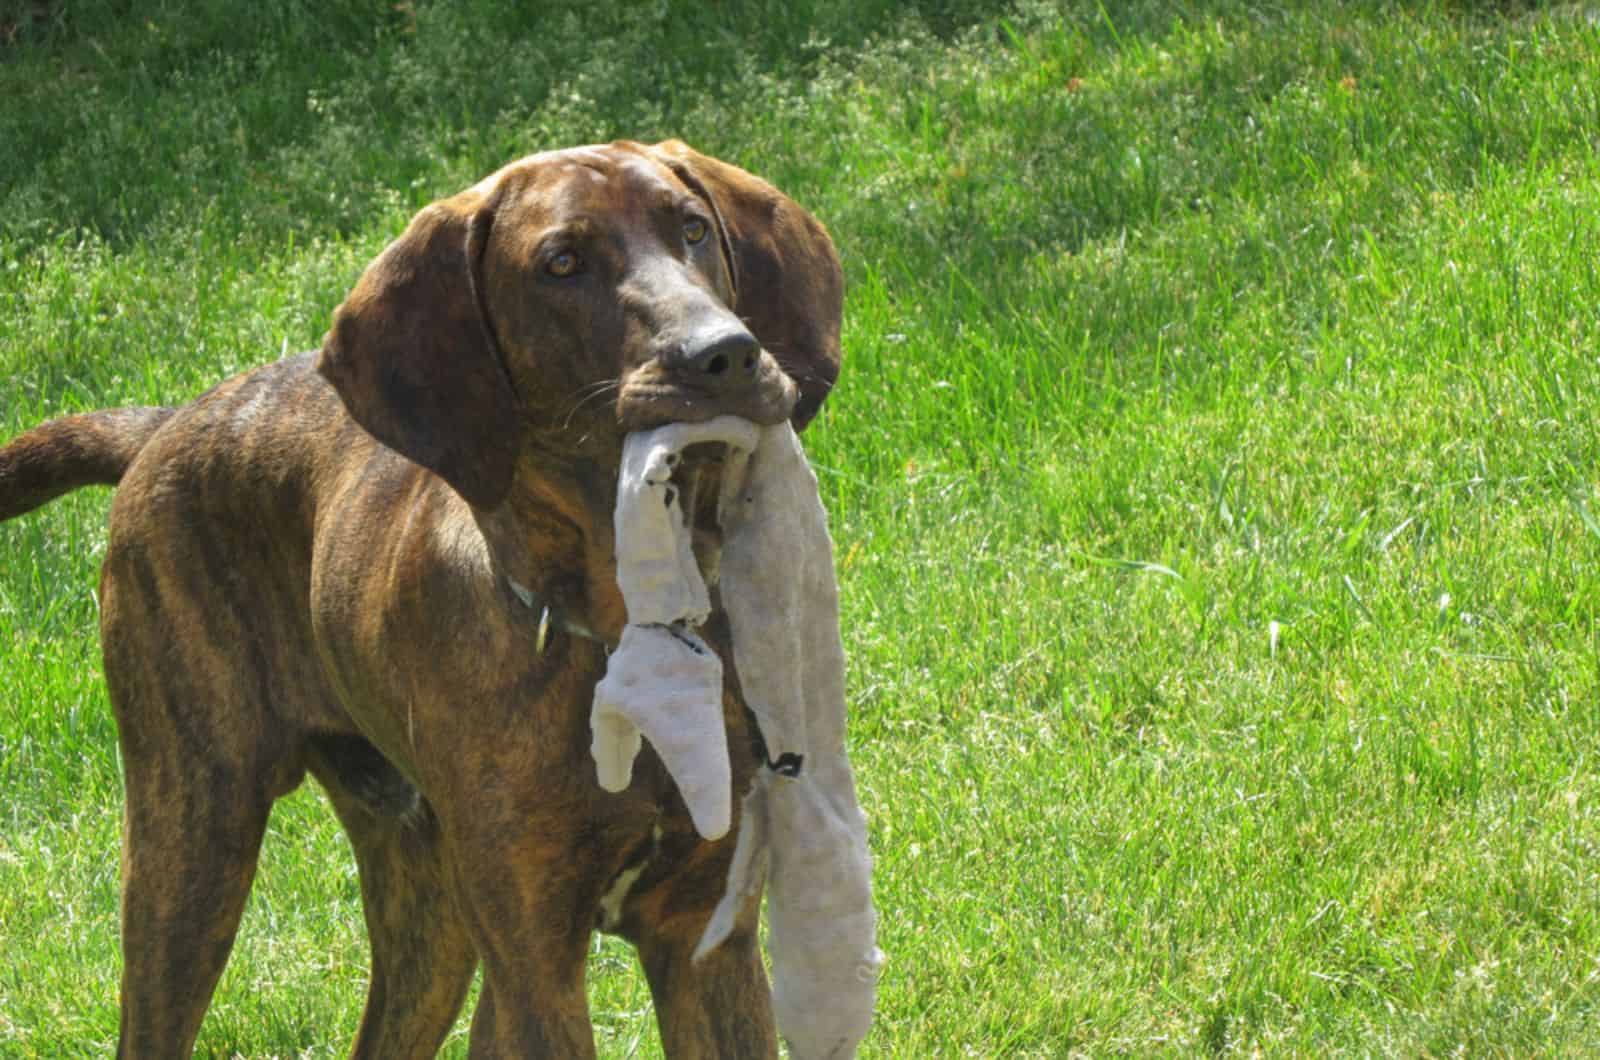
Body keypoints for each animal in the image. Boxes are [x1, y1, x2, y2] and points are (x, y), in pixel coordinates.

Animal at [0, 136, 851, 1056]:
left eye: (692, 227)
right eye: (560, 263)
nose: (724, 353)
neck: (621, 627)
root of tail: (165, 426)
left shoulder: (704, 942)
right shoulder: (536, 965)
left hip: (428, 910)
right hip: (192, 842)